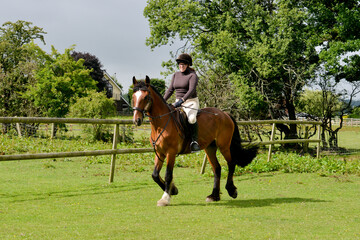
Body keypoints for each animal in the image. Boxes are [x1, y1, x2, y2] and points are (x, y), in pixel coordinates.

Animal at [132, 75, 258, 206]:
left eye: (146, 97)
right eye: (133, 97)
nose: (137, 120)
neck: (161, 124)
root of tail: (224, 114)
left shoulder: (170, 153)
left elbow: (168, 175)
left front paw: (165, 198)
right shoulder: (160, 152)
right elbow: (155, 175)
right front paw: (174, 190)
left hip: (224, 146)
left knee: (231, 163)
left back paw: (231, 190)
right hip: (210, 148)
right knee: (217, 168)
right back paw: (214, 196)